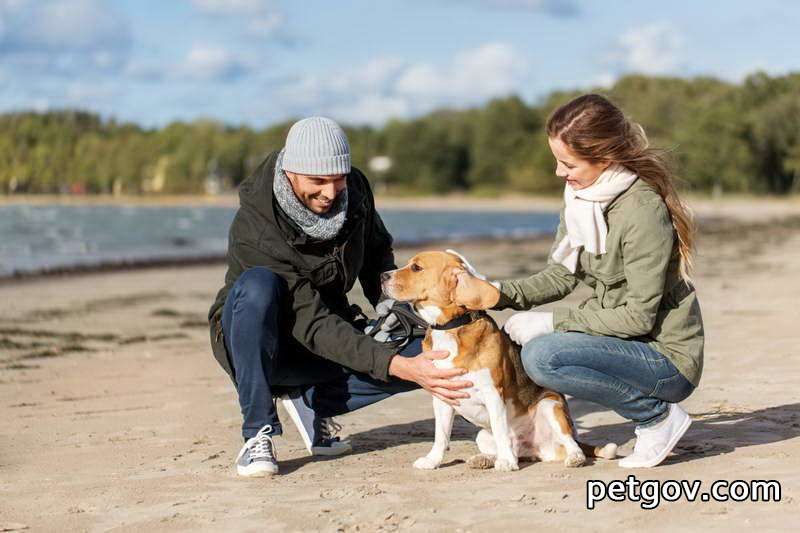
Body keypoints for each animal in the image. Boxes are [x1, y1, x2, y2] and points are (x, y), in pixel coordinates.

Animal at [382, 249, 620, 470]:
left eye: (416, 268)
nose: (382, 276)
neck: (452, 327)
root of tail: (531, 448)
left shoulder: (493, 393)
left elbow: (499, 428)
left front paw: (505, 461)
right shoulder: (442, 396)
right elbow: (441, 435)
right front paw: (433, 461)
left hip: (550, 406)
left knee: (571, 443)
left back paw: (571, 457)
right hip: (482, 435)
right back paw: (486, 459)